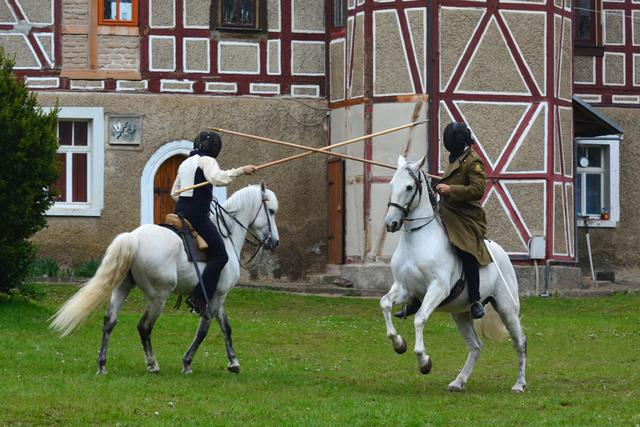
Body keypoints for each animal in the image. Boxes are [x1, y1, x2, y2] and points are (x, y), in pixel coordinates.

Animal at [50, 182, 280, 376]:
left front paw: (233, 362)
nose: (275, 242)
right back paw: (152, 365)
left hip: (122, 287)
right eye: (271, 211)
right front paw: (187, 362)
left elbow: (226, 327)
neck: (227, 236)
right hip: (158, 296)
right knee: (144, 327)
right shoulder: (216, 297)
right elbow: (203, 331)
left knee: (109, 322)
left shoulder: (216, 295)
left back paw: (102, 365)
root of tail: (134, 238)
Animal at [380, 155, 524, 392]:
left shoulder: (437, 289)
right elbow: (385, 304)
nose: (391, 223)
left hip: (507, 309)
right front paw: (399, 344)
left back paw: (519, 385)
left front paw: (423, 361)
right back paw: (458, 382)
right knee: (476, 346)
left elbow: (420, 318)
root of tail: (501, 253)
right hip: (460, 314)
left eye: (409, 187)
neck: (417, 241)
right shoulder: (405, 289)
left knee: (520, 343)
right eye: (391, 184)